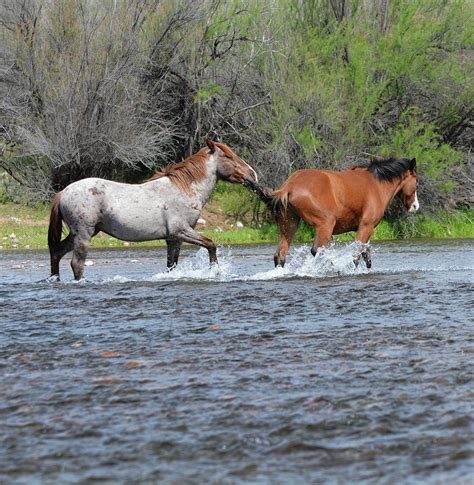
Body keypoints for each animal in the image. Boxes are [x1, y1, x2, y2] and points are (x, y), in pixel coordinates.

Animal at [48, 139, 258, 280]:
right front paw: (215, 271)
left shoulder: (174, 239)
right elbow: (211, 244)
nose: (252, 173)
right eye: (228, 156)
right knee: (77, 264)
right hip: (84, 234)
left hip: (78, 234)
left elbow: (171, 265)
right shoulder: (180, 231)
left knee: (57, 253)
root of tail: (63, 193)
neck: (184, 189)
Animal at [244, 157, 418, 266]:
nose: (415, 206)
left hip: (289, 225)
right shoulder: (366, 226)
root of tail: (288, 186)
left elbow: (365, 253)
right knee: (317, 250)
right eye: (416, 182)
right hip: (326, 225)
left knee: (280, 255)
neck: (376, 184)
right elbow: (356, 255)